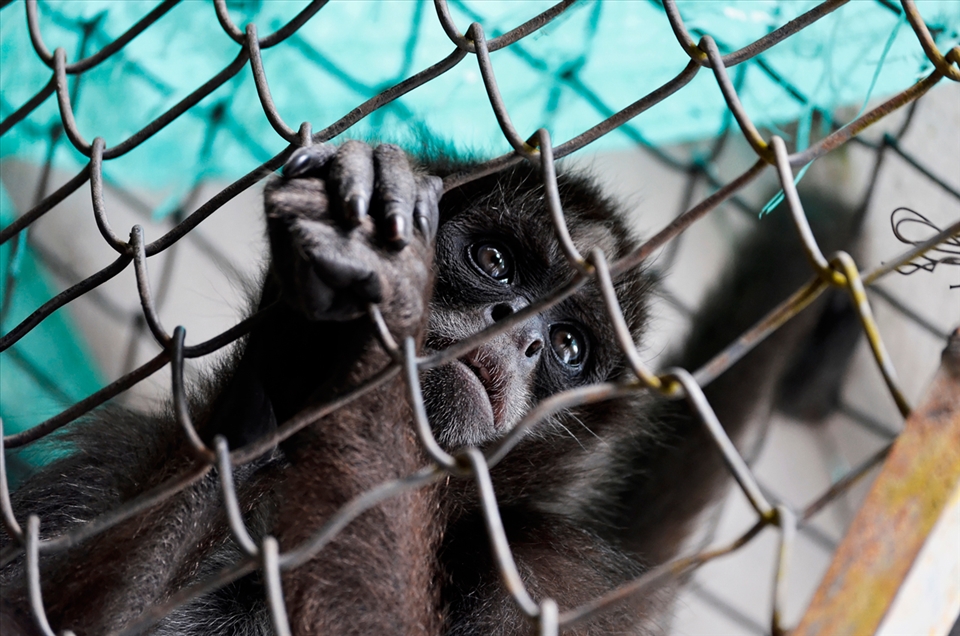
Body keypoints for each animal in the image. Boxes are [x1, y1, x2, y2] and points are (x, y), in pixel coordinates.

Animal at [0, 140, 856, 635]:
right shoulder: (115, 457)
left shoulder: (551, 579)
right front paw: (296, 364)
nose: (523, 330)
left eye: (570, 347)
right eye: (496, 262)